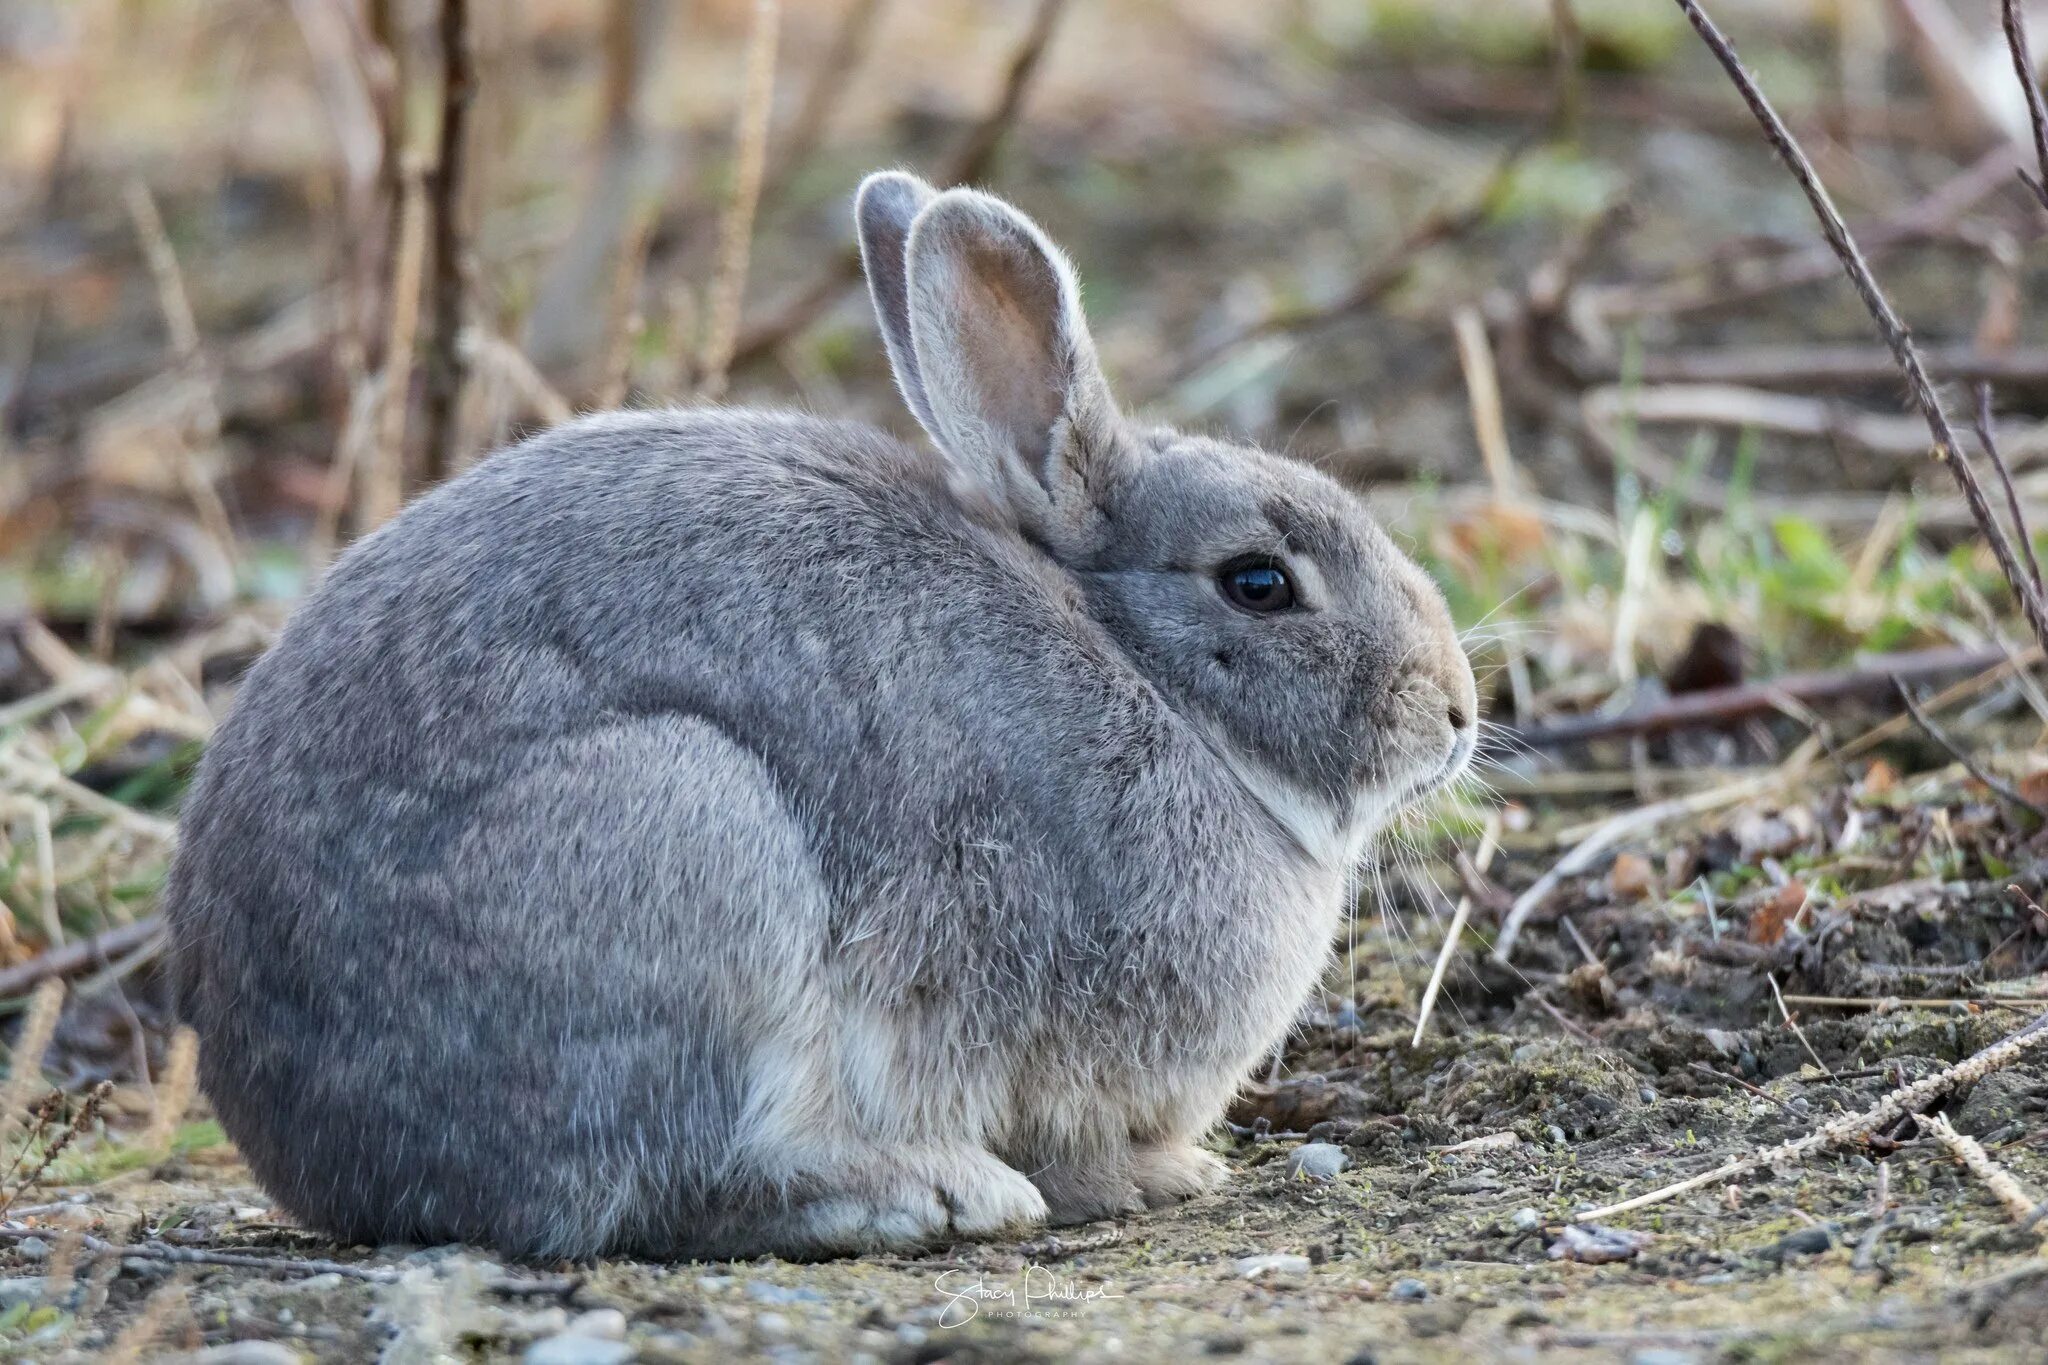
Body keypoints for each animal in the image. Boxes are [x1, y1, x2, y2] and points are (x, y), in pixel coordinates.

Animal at [159, 170, 1474, 1260]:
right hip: (686, 845)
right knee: (664, 1189)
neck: (1144, 674)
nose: (1455, 712)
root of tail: (329, 1157)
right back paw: (926, 1194)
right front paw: (1158, 1178)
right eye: (1257, 582)